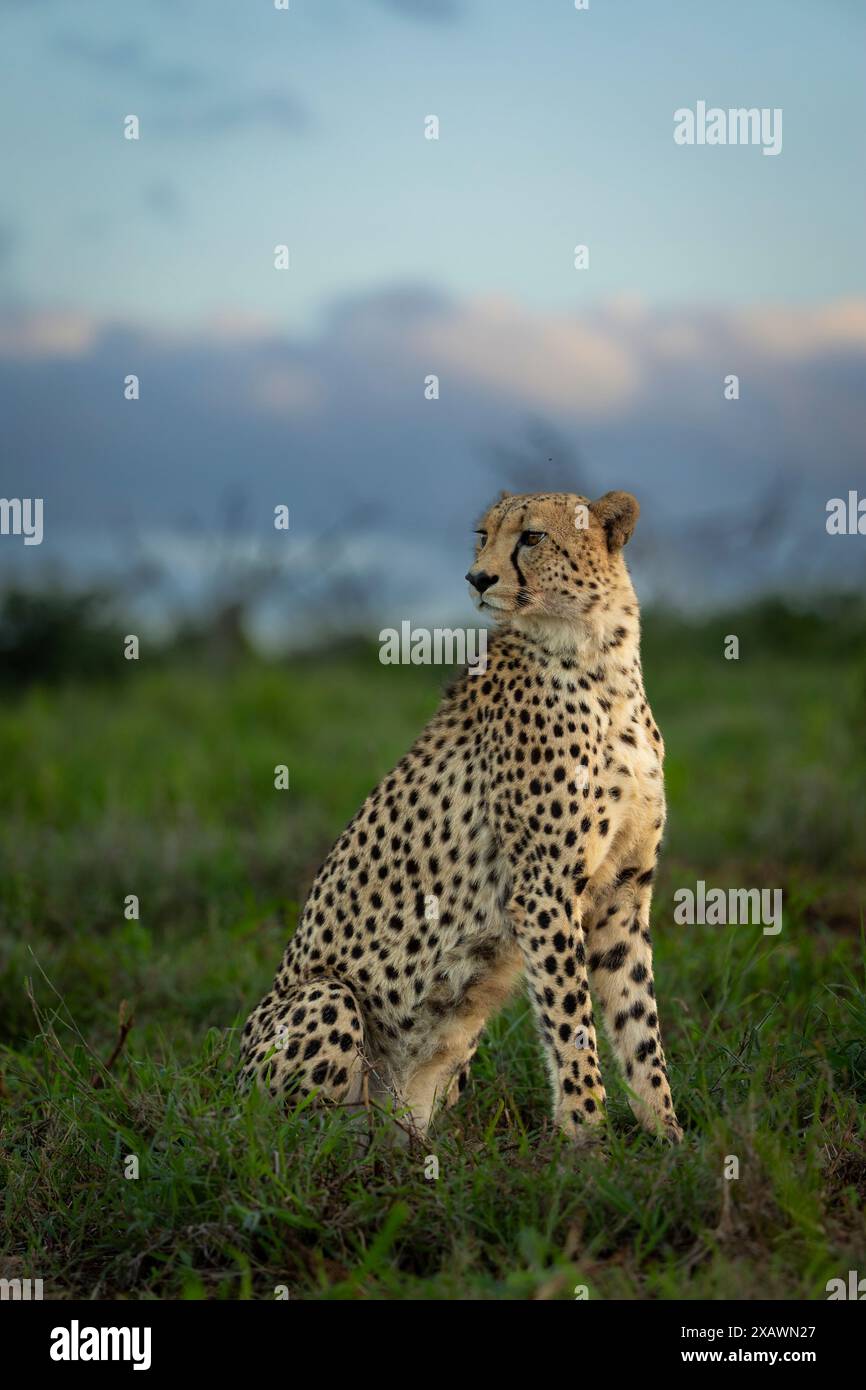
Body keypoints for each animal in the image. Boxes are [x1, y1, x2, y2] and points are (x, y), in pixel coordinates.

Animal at [239, 494, 683, 1145]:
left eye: (532, 537)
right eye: (482, 535)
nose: (477, 578)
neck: (599, 655)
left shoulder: (622, 891)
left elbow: (637, 1021)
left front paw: (669, 1138)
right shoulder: (544, 888)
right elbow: (572, 1021)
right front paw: (588, 1139)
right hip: (325, 999)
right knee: (292, 1137)